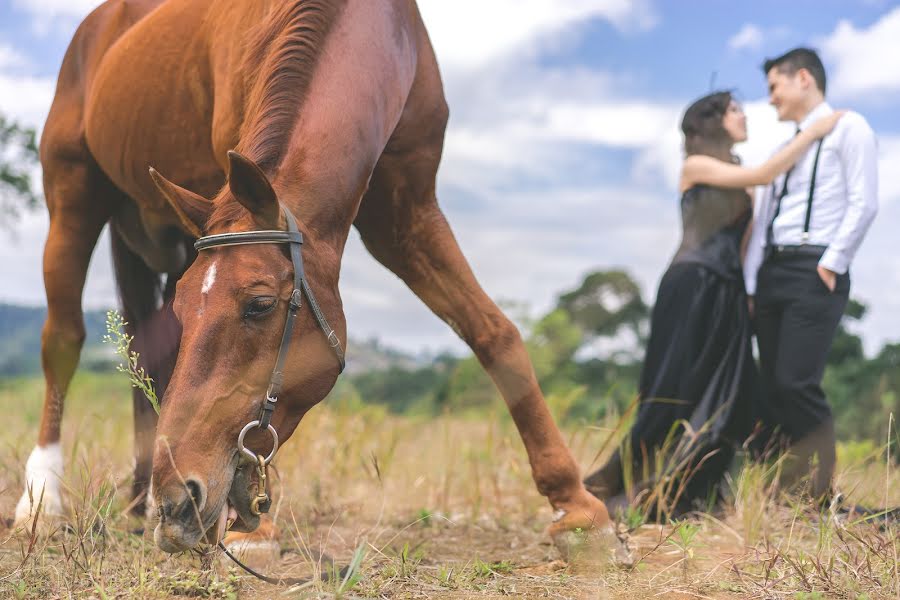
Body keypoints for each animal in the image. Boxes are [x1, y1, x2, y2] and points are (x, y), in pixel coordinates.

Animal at [15, 0, 612, 552]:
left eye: (259, 305)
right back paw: (43, 500)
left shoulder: (406, 214)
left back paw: (138, 503)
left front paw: (576, 505)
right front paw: (256, 525)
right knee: (63, 340)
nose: (178, 498)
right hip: (72, 198)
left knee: (145, 347)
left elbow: (493, 332)